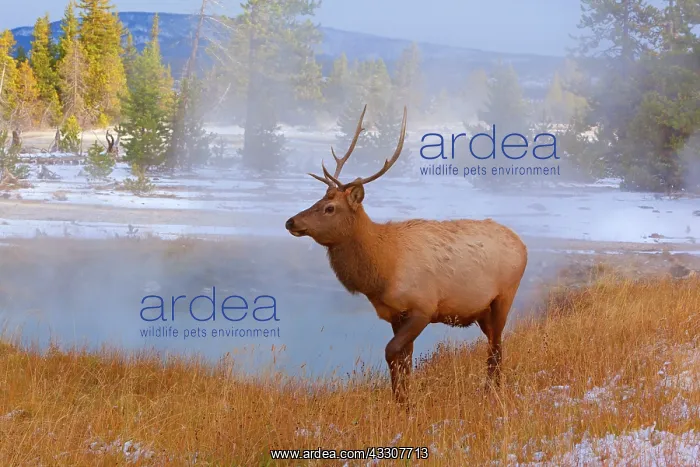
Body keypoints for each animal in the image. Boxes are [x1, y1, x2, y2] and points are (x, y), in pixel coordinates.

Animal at [284, 105, 528, 406]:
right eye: (317, 200)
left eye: (330, 208)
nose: (291, 221)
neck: (383, 271)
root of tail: (523, 244)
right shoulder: (394, 315)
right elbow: (404, 361)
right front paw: (402, 400)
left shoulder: (422, 306)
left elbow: (391, 353)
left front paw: (404, 402)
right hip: (483, 310)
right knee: (494, 343)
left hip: (504, 296)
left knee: (496, 344)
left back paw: (490, 391)